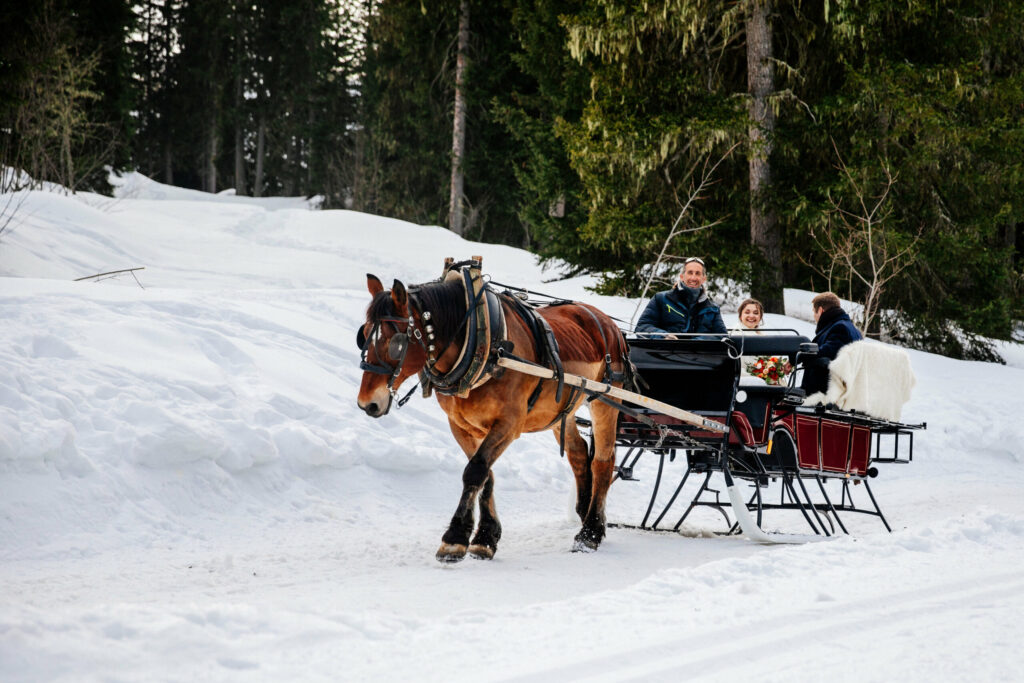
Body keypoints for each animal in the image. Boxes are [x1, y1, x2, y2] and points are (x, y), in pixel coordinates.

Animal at [355, 265, 630, 562]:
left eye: (395, 341)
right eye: (363, 334)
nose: (367, 403)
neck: (481, 340)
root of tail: (609, 323)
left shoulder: (509, 423)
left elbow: (475, 471)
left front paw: (454, 539)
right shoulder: (460, 425)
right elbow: (485, 474)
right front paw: (485, 537)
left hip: (607, 400)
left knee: (603, 461)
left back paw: (590, 532)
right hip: (561, 412)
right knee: (578, 452)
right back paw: (586, 514)